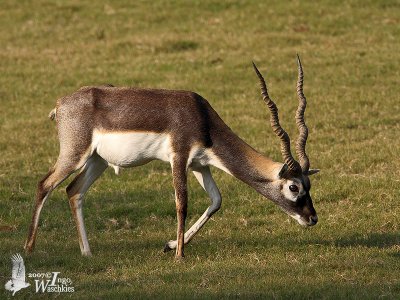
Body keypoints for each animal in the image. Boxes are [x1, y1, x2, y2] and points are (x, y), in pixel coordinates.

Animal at [25, 55, 318, 258]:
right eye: (293, 187)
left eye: (309, 185)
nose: (313, 218)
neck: (202, 118)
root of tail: (61, 104)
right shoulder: (179, 157)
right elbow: (182, 203)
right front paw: (179, 255)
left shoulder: (200, 165)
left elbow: (216, 201)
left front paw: (170, 245)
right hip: (75, 154)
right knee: (44, 185)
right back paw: (29, 249)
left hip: (98, 161)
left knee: (74, 191)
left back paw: (87, 253)